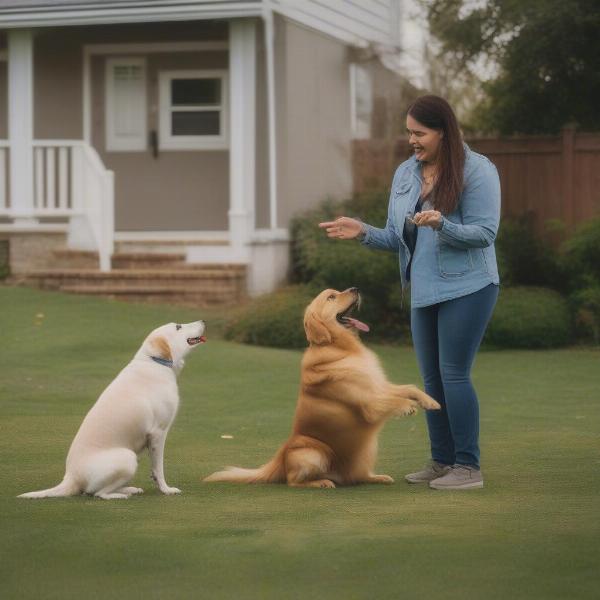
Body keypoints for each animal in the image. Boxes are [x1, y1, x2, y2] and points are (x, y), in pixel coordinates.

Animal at [18, 322, 206, 500]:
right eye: (178, 326)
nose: (203, 321)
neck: (154, 362)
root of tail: (71, 477)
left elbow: (154, 470)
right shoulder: (158, 434)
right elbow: (158, 468)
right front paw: (166, 489)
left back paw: (130, 489)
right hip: (128, 458)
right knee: (96, 493)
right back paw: (120, 494)